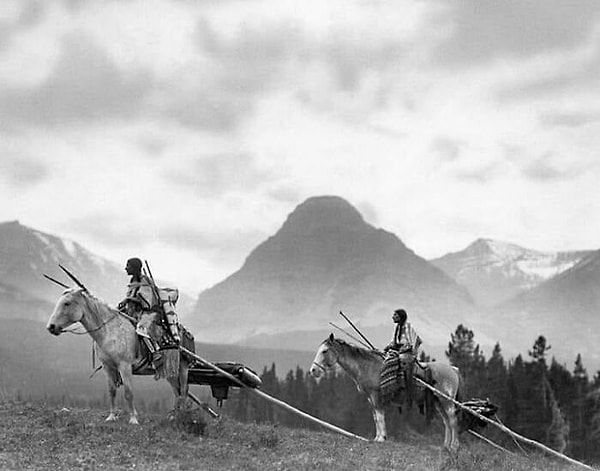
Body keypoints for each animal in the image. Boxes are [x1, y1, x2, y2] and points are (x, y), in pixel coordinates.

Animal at [47, 290, 192, 426]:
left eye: (67, 303)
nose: (51, 327)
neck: (110, 332)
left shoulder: (125, 366)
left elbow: (128, 392)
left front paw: (133, 419)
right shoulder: (108, 367)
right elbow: (112, 391)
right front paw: (111, 416)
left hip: (183, 368)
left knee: (183, 391)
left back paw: (183, 416)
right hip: (170, 372)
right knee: (177, 392)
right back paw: (174, 416)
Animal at [312, 332, 462, 454]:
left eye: (325, 351)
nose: (313, 370)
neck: (369, 366)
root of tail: (453, 369)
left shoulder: (376, 396)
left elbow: (379, 416)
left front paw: (382, 438)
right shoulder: (370, 398)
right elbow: (375, 417)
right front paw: (377, 437)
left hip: (446, 401)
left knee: (453, 420)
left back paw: (454, 446)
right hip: (438, 401)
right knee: (446, 422)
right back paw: (446, 446)